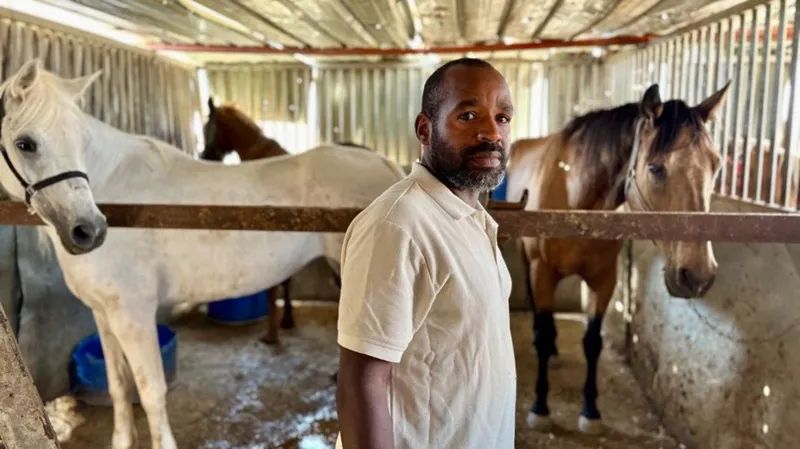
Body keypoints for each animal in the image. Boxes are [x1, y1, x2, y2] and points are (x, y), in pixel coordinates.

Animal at [0, 59, 410, 448]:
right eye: (25, 144)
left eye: (80, 140)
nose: (88, 230)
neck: (116, 194)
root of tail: (385, 166)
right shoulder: (103, 314)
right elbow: (118, 385)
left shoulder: (133, 315)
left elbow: (151, 391)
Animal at [506, 81, 732, 434]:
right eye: (655, 168)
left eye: (716, 165)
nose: (698, 276)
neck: (575, 199)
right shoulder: (543, 272)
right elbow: (542, 334)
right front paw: (540, 407)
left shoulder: (604, 280)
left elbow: (593, 342)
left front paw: (590, 411)